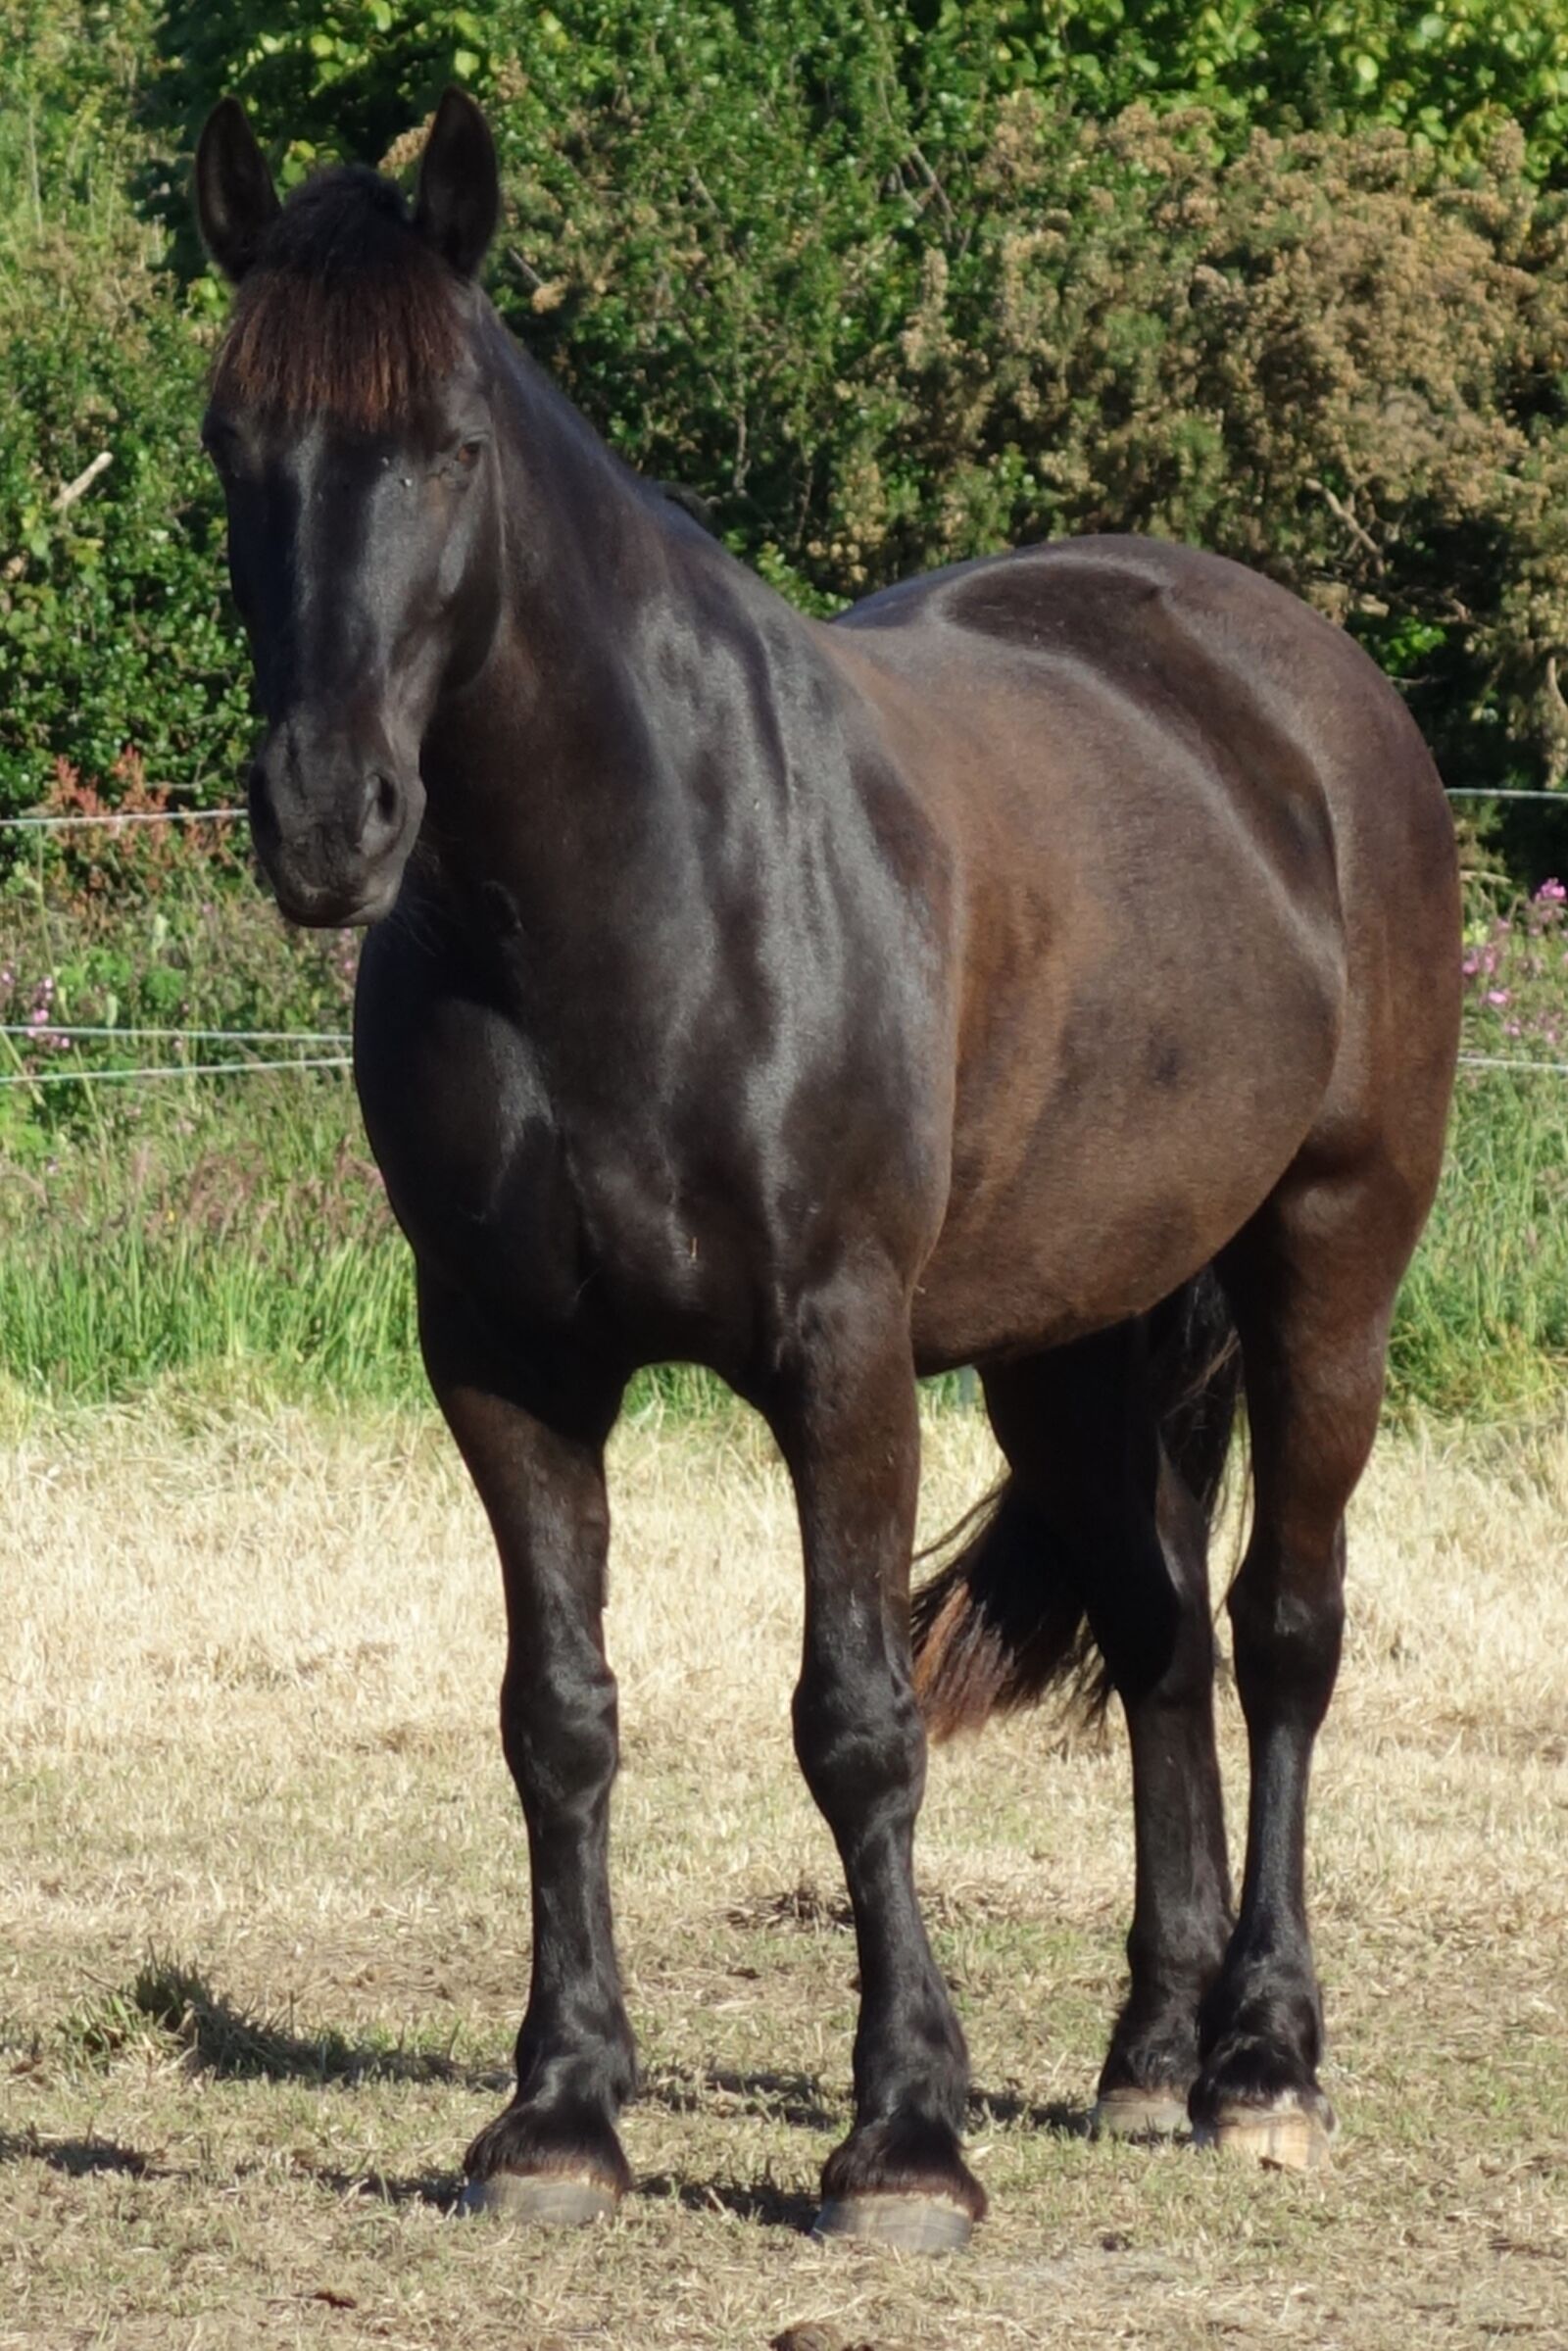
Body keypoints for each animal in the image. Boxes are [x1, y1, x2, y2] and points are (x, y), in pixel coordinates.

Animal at [192, 91, 1457, 2247]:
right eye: (230, 444)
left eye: (448, 442)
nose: (326, 818)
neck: (637, 893)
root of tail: (1300, 686)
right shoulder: (503, 1361)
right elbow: (557, 1713)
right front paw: (559, 2110)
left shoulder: (842, 1356)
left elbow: (856, 1721)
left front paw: (903, 2140)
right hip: (1078, 1338)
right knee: (1160, 1637)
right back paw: (1150, 2050)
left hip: (1327, 1268)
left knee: (1284, 1630)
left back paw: (1264, 2063)